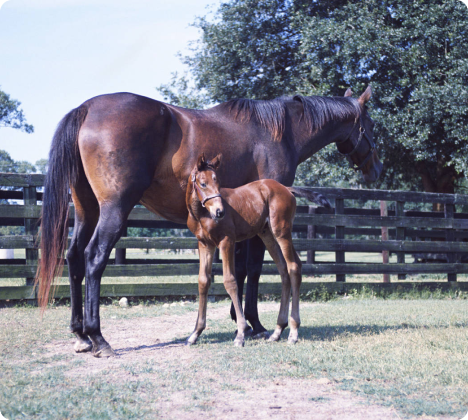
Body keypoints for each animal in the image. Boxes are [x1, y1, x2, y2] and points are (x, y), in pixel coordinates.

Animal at [185, 154, 330, 348]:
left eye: (218, 181)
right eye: (203, 183)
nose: (220, 212)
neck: (202, 215)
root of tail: (286, 188)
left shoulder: (226, 241)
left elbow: (230, 281)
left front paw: (241, 333)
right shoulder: (204, 244)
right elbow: (203, 281)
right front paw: (195, 333)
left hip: (281, 231)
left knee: (293, 267)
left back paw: (293, 332)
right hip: (267, 234)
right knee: (284, 269)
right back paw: (277, 331)